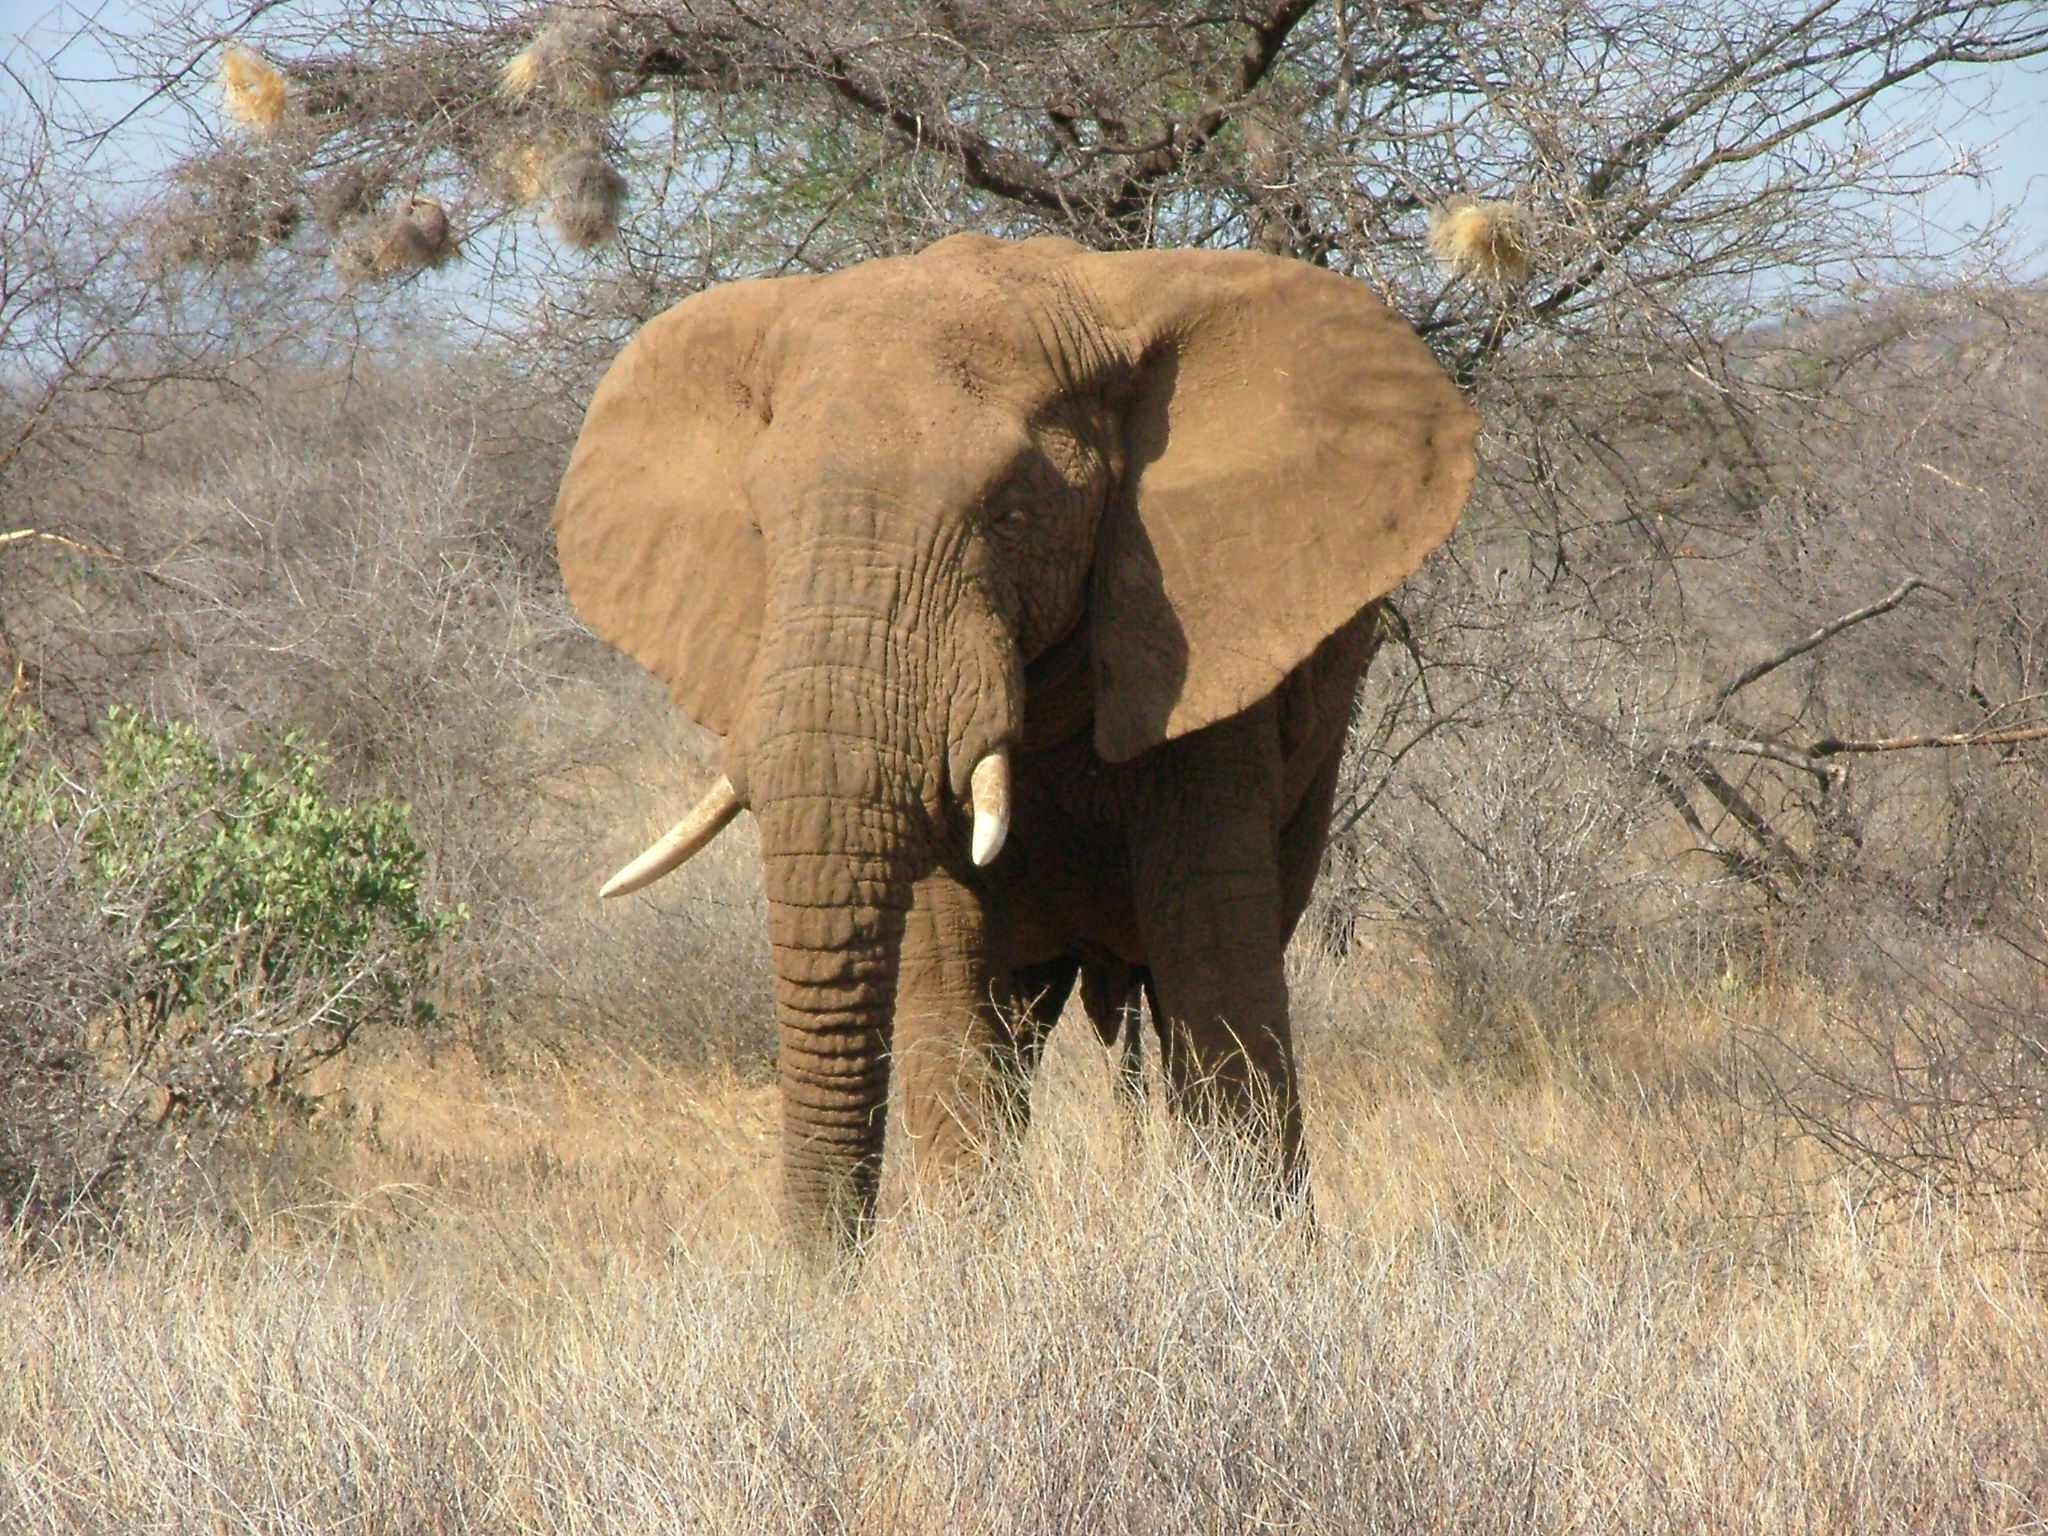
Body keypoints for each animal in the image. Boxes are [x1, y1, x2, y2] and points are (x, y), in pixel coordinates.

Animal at [552, 233, 1476, 1250]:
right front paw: (973, 1269)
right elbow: (952, 978)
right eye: (761, 528)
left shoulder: (1203, 634)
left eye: (1011, 516)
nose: (820, 1276)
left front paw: (1257, 1255)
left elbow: (1212, 955)